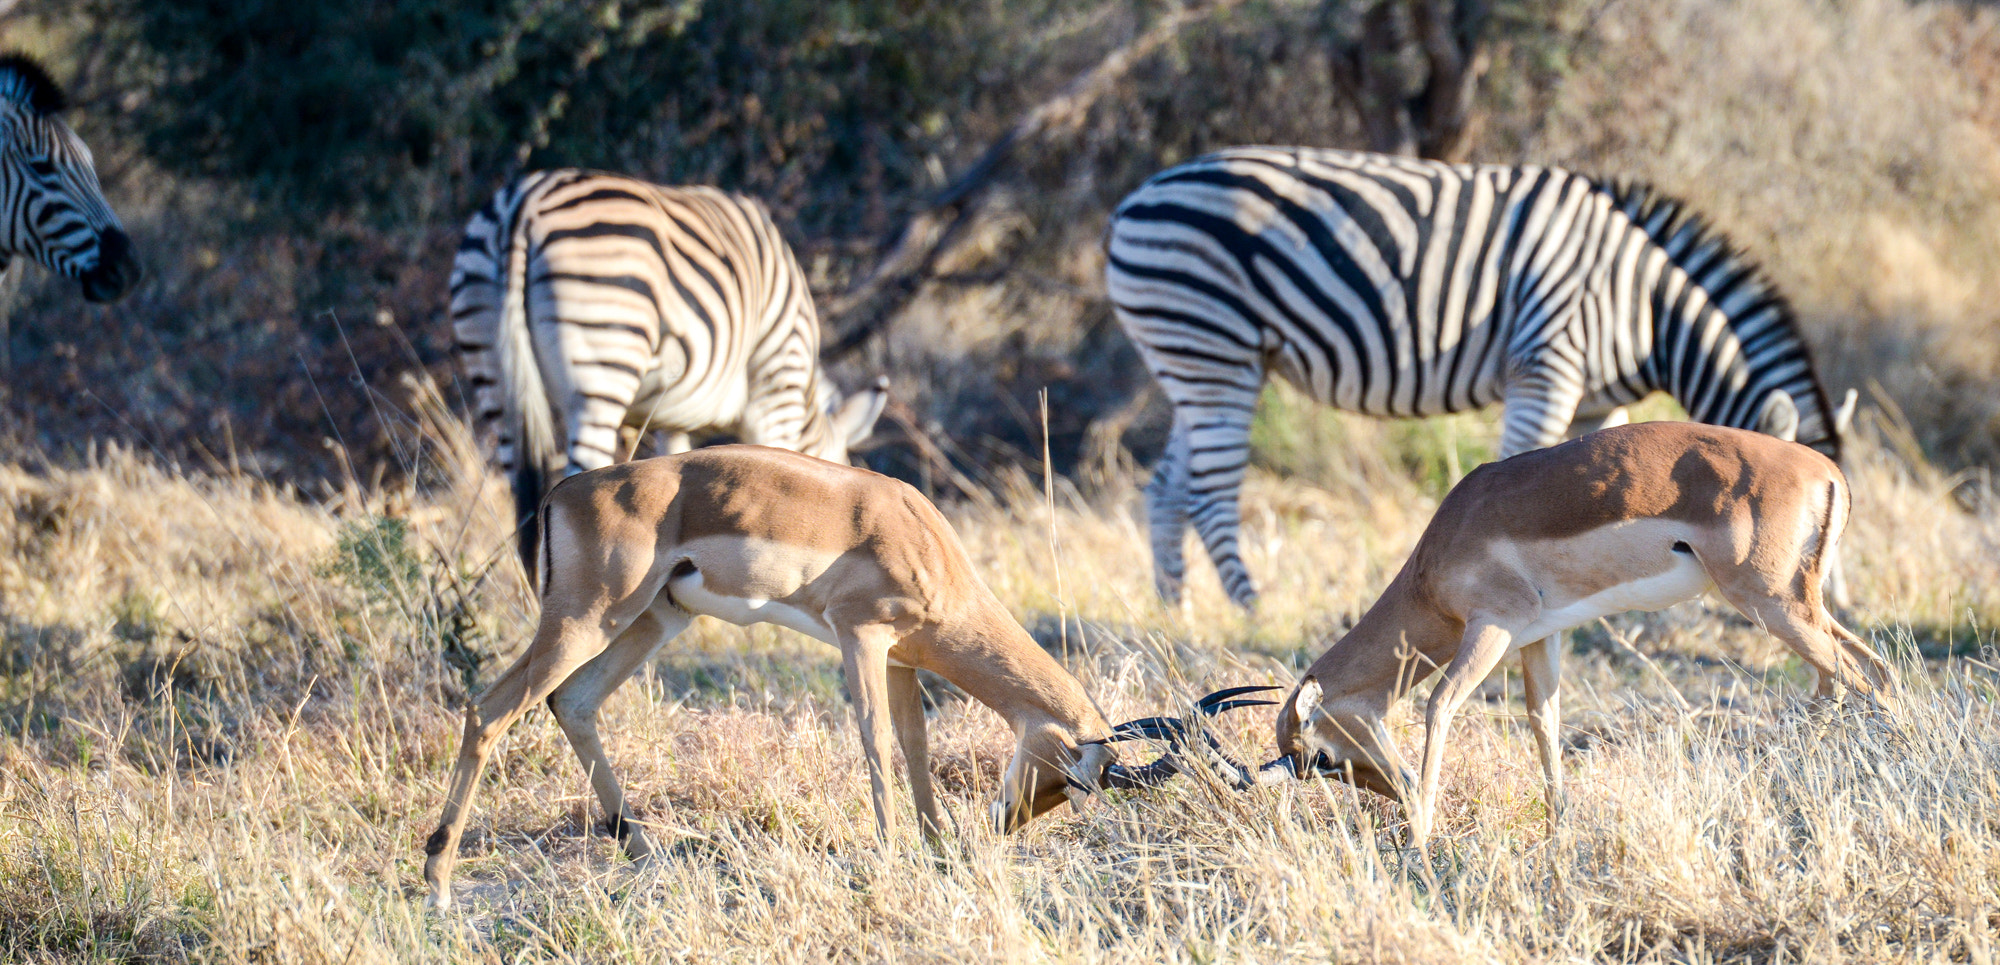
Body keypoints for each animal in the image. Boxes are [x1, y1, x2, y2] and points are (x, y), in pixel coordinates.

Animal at [458, 170, 896, 568]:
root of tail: (522, 207)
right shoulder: (776, 393)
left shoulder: (672, 421)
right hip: (605, 361)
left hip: (492, 370)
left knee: (523, 509)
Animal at [1104, 143, 1848, 612]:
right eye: (1801, 521)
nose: (1821, 600)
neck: (1645, 307)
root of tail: (1133, 199)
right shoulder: (1546, 361)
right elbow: (1525, 472)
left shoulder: (1594, 401)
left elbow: (1606, 490)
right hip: (1211, 348)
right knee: (1208, 493)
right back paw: (1252, 611)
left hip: (1195, 357)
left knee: (1164, 489)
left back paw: (1177, 613)